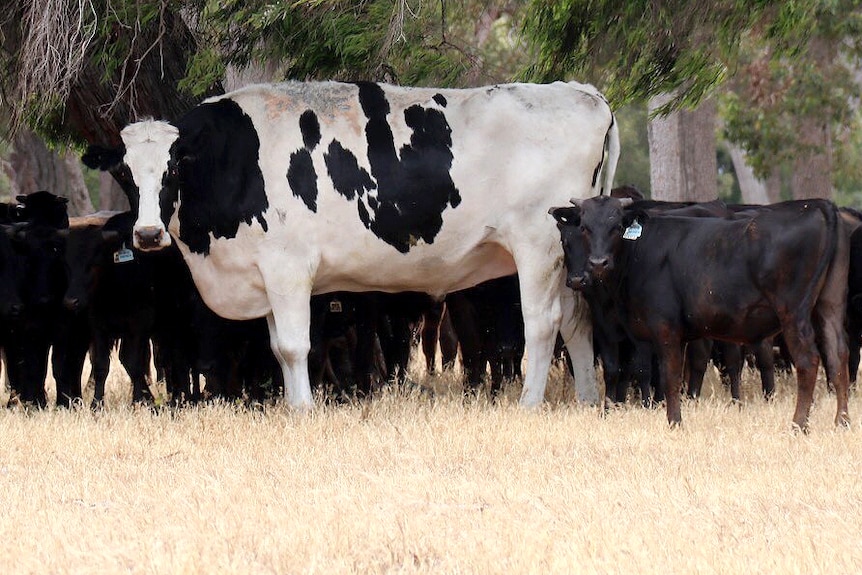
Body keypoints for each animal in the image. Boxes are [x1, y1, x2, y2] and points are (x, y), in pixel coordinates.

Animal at [96, 80, 620, 410]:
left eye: (172, 168)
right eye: (124, 170)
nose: (147, 234)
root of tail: (579, 91)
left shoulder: (288, 267)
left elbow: (293, 346)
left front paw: (304, 410)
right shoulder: (267, 273)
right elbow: (276, 345)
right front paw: (294, 404)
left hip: (538, 246)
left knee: (543, 323)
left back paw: (529, 403)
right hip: (566, 256)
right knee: (576, 321)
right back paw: (587, 398)